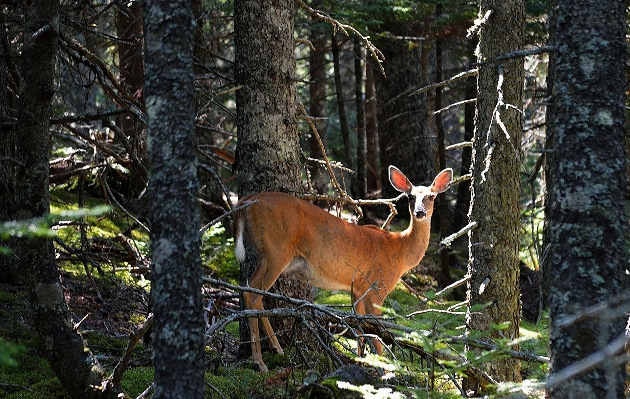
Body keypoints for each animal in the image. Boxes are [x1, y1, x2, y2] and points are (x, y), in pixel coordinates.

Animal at [235, 166, 452, 372]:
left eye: (431, 196)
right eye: (410, 196)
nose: (420, 213)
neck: (399, 250)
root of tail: (244, 203)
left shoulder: (358, 288)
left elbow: (360, 328)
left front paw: (362, 361)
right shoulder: (377, 287)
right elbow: (376, 332)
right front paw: (383, 368)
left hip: (266, 255)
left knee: (249, 289)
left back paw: (276, 348)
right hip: (277, 250)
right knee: (253, 294)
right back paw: (259, 362)